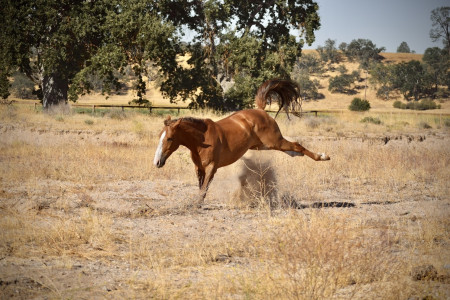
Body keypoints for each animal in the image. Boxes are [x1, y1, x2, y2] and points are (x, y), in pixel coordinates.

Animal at [153, 78, 328, 207]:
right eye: (159, 136)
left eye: (169, 138)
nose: (157, 162)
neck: (201, 141)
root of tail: (261, 111)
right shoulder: (199, 168)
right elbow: (201, 187)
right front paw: (197, 203)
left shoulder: (211, 168)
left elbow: (204, 188)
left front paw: (197, 205)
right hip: (263, 146)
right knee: (293, 150)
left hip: (274, 141)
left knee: (297, 145)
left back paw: (323, 156)